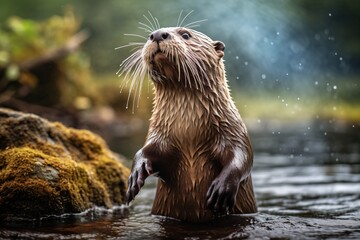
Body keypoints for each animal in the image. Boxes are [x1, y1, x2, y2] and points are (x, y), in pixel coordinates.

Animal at [119, 25, 258, 222]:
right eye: (149, 35)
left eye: (185, 35)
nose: (157, 34)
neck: (189, 129)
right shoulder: (159, 135)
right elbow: (145, 151)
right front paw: (135, 175)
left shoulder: (233, 130)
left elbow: (243, 157)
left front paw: (221, 189)